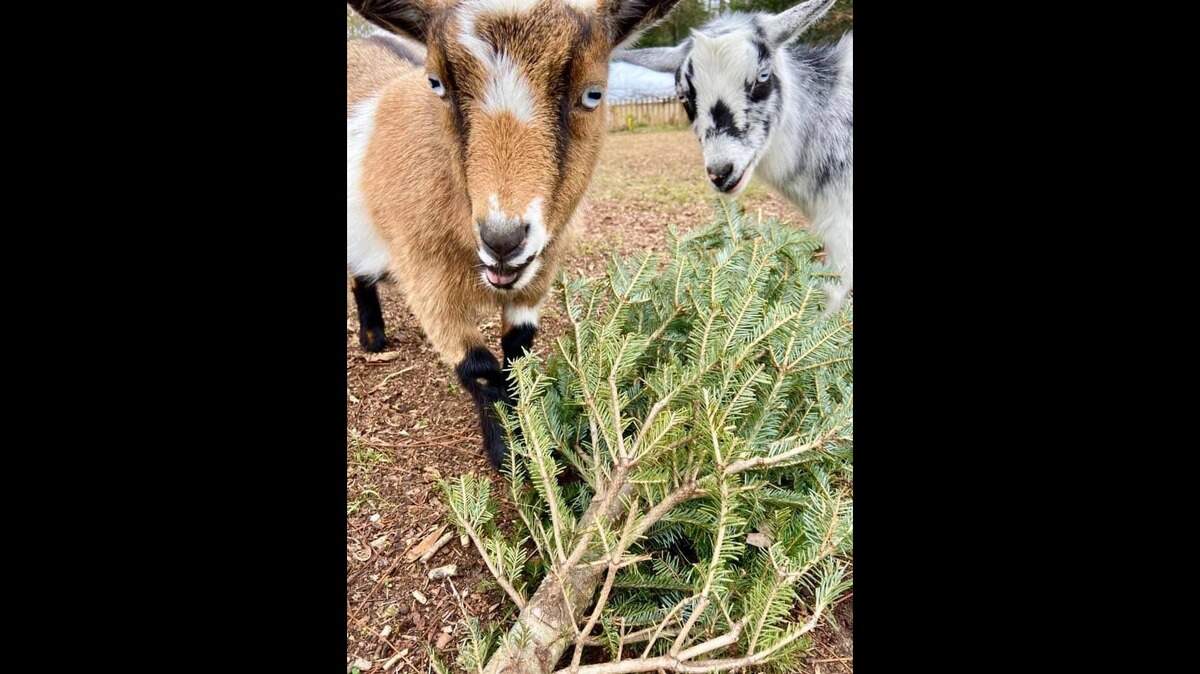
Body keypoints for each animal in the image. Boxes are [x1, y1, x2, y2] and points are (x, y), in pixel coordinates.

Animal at [347, 0, 684, 467]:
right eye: (436, 84)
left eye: (593, 94)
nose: (502, 239)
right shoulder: (424, 276)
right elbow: (480, 369)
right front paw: (511, 454)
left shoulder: (538, 274)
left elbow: (518, 350)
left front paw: (538, 441)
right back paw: (374, 339)